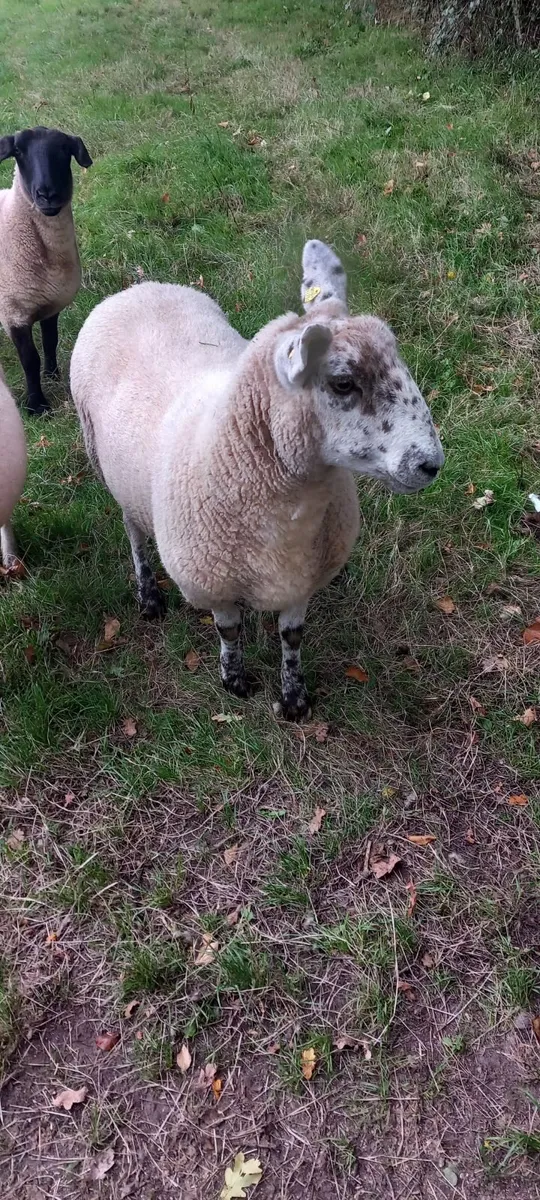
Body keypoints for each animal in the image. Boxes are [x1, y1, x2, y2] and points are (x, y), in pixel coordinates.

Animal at [0, 126, 92, 416]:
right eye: (18, 151)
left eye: (65, 150)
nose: (47, 195)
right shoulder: (14, 312)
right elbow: (30, 359)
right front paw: (37, 405)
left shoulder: (52, 302)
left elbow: (50, 341)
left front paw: (52, 375)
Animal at [70, 239, 444, 719]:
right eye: (343, 383)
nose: (430, 464)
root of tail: (137, 288)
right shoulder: (212, 582)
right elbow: (229, 632)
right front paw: (235, 681)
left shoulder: (303, 578)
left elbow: (292, 638)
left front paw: (293, 697)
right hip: (110, 471)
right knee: (134, 532)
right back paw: (148, 593)